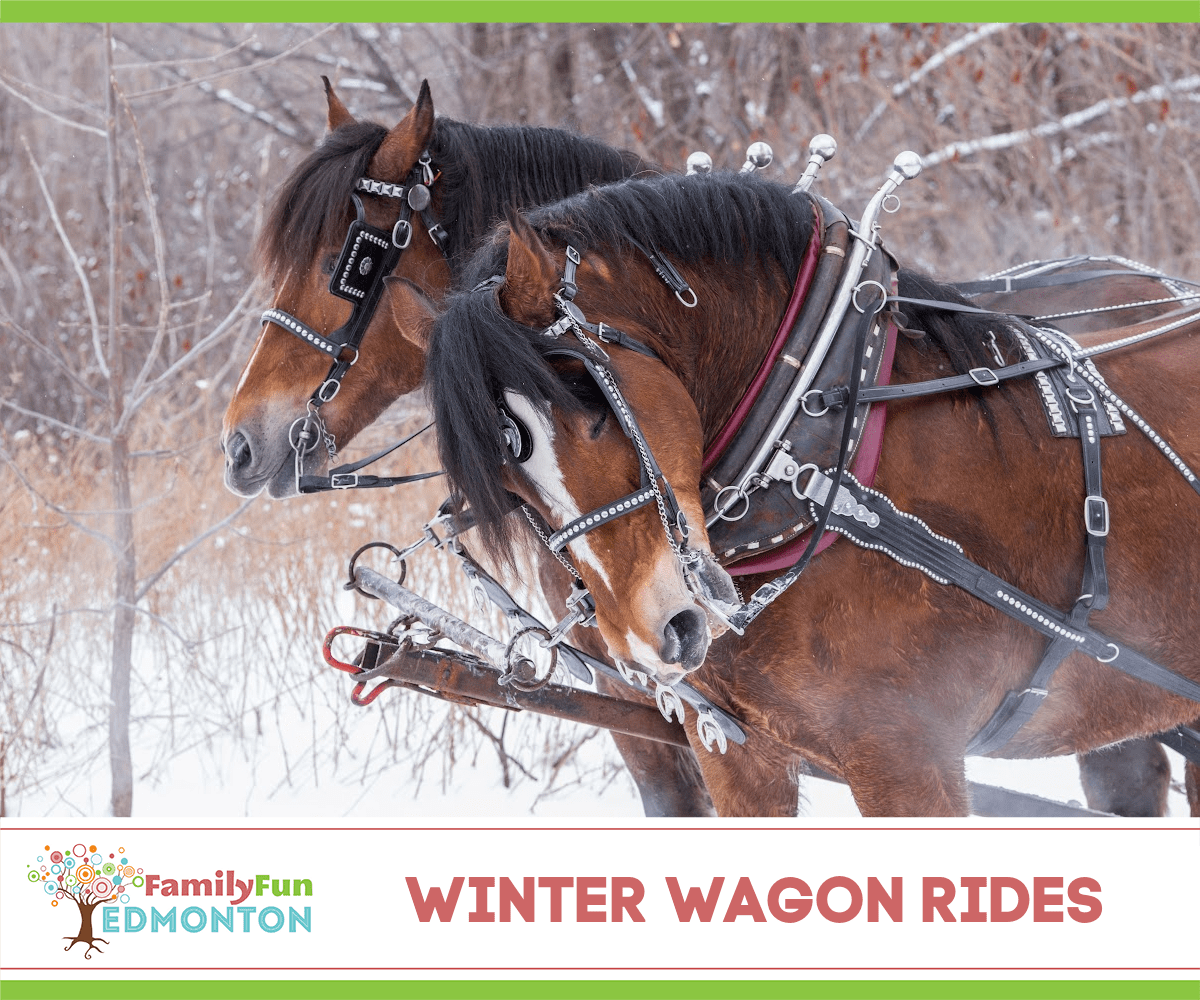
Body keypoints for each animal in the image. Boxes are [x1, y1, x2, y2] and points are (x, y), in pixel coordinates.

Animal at [417, 168, 1200, 816]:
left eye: (590, 396)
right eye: (505, 480)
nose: (653, 636)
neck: (823, 458)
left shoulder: (907, 758)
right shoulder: (737, 754)